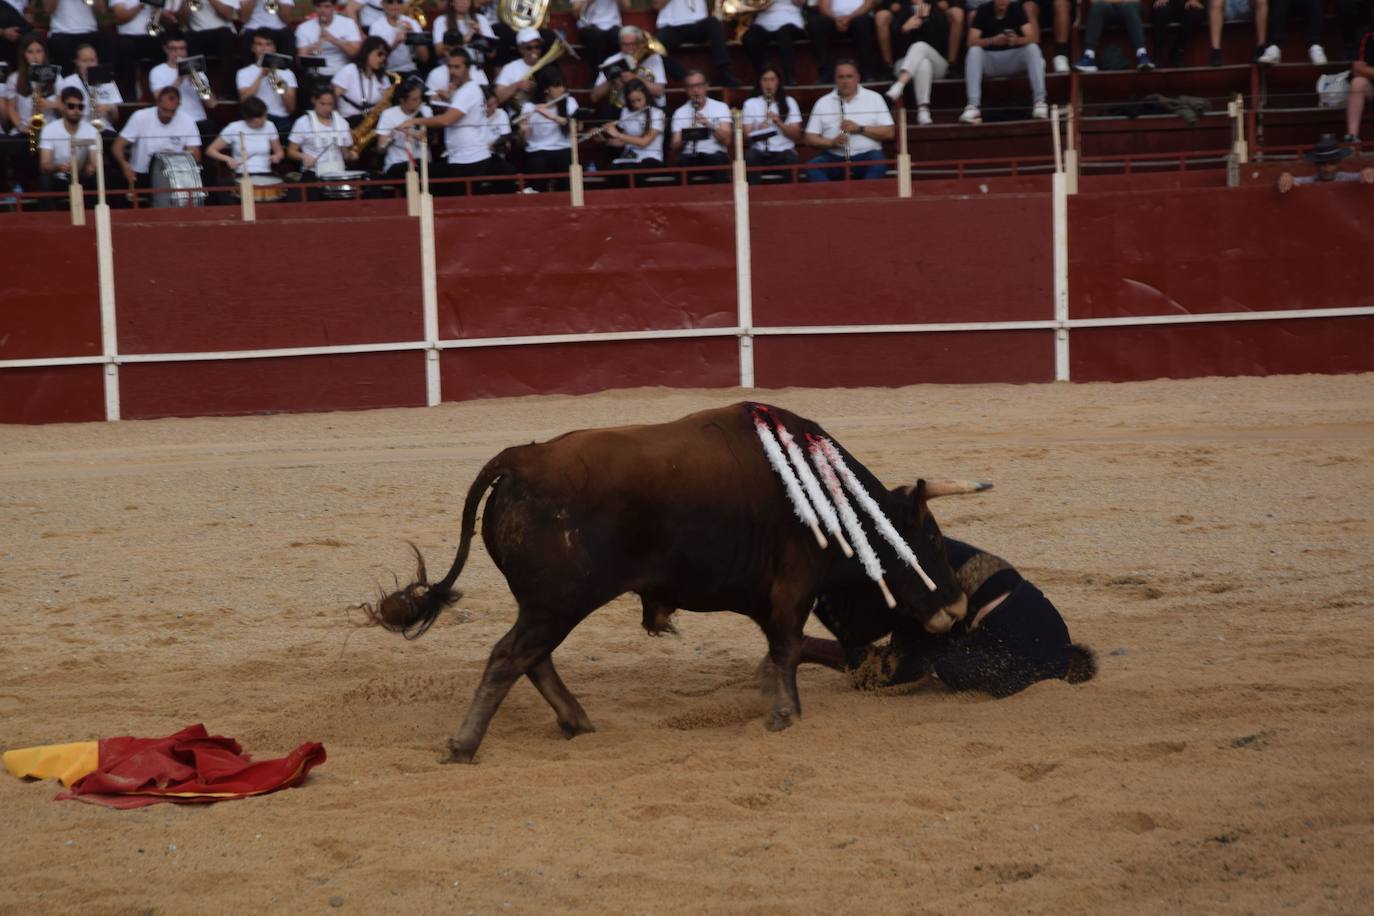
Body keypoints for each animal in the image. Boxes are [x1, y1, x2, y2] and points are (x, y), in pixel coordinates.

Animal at [365, 403, 967, 763]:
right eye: (933, 540)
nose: (959, 607)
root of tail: (519, 460)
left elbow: (782, 651)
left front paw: (773, 697)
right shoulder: (792, 590)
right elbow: (789, 647)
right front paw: (785, 716)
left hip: (547, 606)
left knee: (531, 658)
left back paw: (577, 722)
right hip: (559, 602)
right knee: (509, 658)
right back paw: (465, 745)